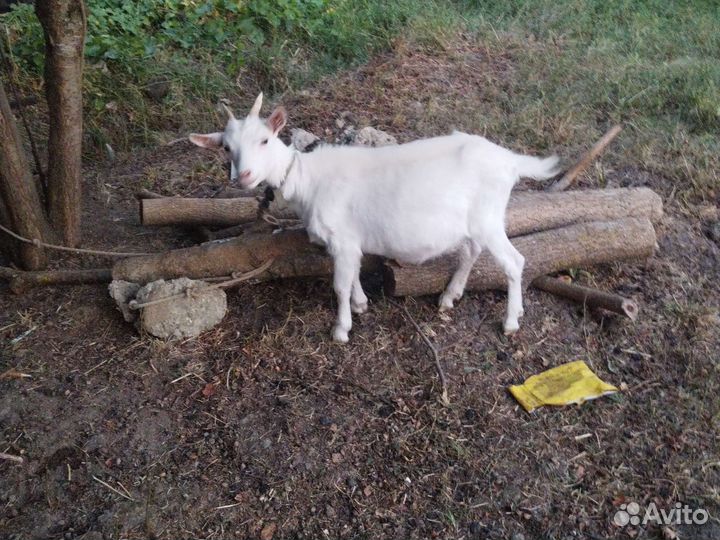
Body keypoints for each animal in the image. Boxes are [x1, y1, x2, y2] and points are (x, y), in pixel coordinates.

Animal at [190, 94, 559, 342]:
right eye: (226, 148)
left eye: (265, 140)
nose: (244, 176)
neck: (308, 179)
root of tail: (510, 161)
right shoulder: (349, 241)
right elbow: (353, 273)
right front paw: (360, 304)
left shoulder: (341, 238)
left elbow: (339, 284)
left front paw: (341, 329)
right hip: (475, 222)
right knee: (472, 251)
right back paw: (449, 297)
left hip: (488, 219)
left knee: (514, 261)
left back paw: (511, 321)